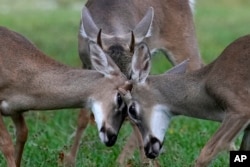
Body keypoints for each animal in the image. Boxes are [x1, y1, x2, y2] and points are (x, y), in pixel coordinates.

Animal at [67, 0, 204, 164]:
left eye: (129, 75)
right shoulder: (85, 63)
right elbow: (83, 117)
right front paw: (70, 160)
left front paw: (144, 160)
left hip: (184, 40)